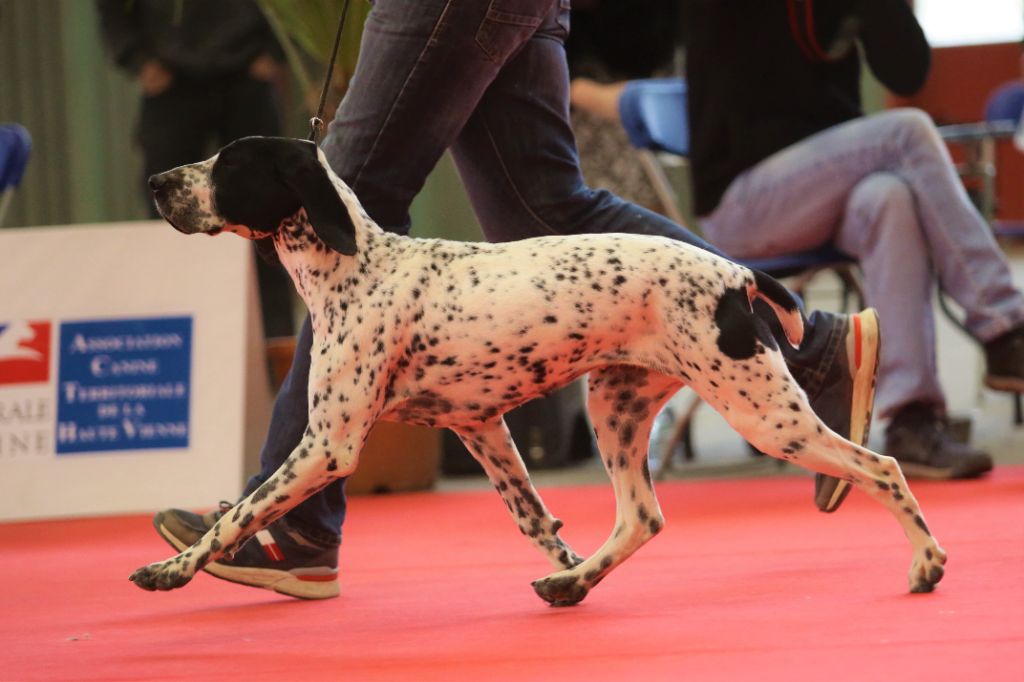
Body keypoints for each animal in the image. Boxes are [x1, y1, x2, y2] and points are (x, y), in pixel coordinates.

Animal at [132, 135, 946, 602]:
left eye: (228, 165)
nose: (156, 182)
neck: (358, 267)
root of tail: (734, 274)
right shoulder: (481, 428)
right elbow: (532, 517)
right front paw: (563, 559)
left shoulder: (327, 445)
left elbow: (238, 512)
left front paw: (175, 570)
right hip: (615, 411)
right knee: (641, 518)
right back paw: (572, 585)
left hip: (763, 415)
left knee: (880, 467)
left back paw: (927, 564)